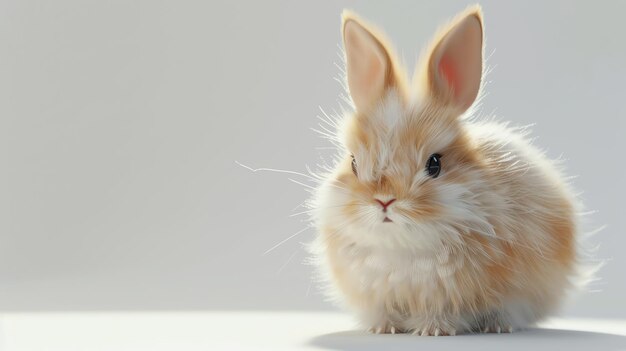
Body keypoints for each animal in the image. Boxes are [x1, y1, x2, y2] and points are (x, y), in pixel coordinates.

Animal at [308, 4, 584, 336]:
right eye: (353, 163)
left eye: (435, 164)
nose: (385, 200)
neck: (402, 249)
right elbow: (384, 312)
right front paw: (382, 329)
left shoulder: (456, 297)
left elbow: (443, 313)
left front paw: (432, 330)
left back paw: (498, 327)